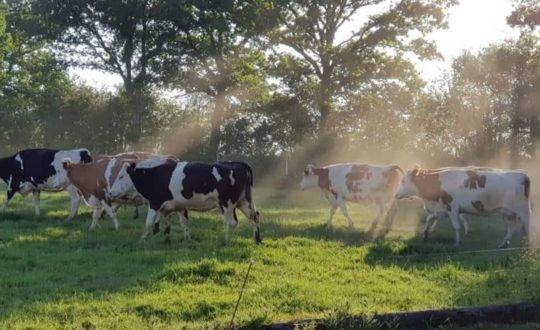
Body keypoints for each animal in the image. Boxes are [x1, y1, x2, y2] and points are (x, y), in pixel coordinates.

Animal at [108, 160, 260, 245]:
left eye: (121, 176)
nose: (110, 193)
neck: (155, 177)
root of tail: (236, 163)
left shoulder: (155, 203)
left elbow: (148, 223)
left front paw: (142, 240)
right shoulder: (179, 206)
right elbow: (183, 224)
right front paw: (185, 239)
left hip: (227, 203)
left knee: (232, 222)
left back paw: (226, 242)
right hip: (244, 201)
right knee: (254, 217)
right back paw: (257, 240)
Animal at [394, 166, 532, 246]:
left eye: (403, 181)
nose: (395, 194)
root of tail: (522, 174)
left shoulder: (452, 207)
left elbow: (456, 226)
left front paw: (457, 242)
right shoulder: (441, 208)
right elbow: (429, 218)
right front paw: (426, 234)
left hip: (523, 210)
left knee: (528, 225)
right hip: (508, 211)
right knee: (512, 226)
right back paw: (504, 243)